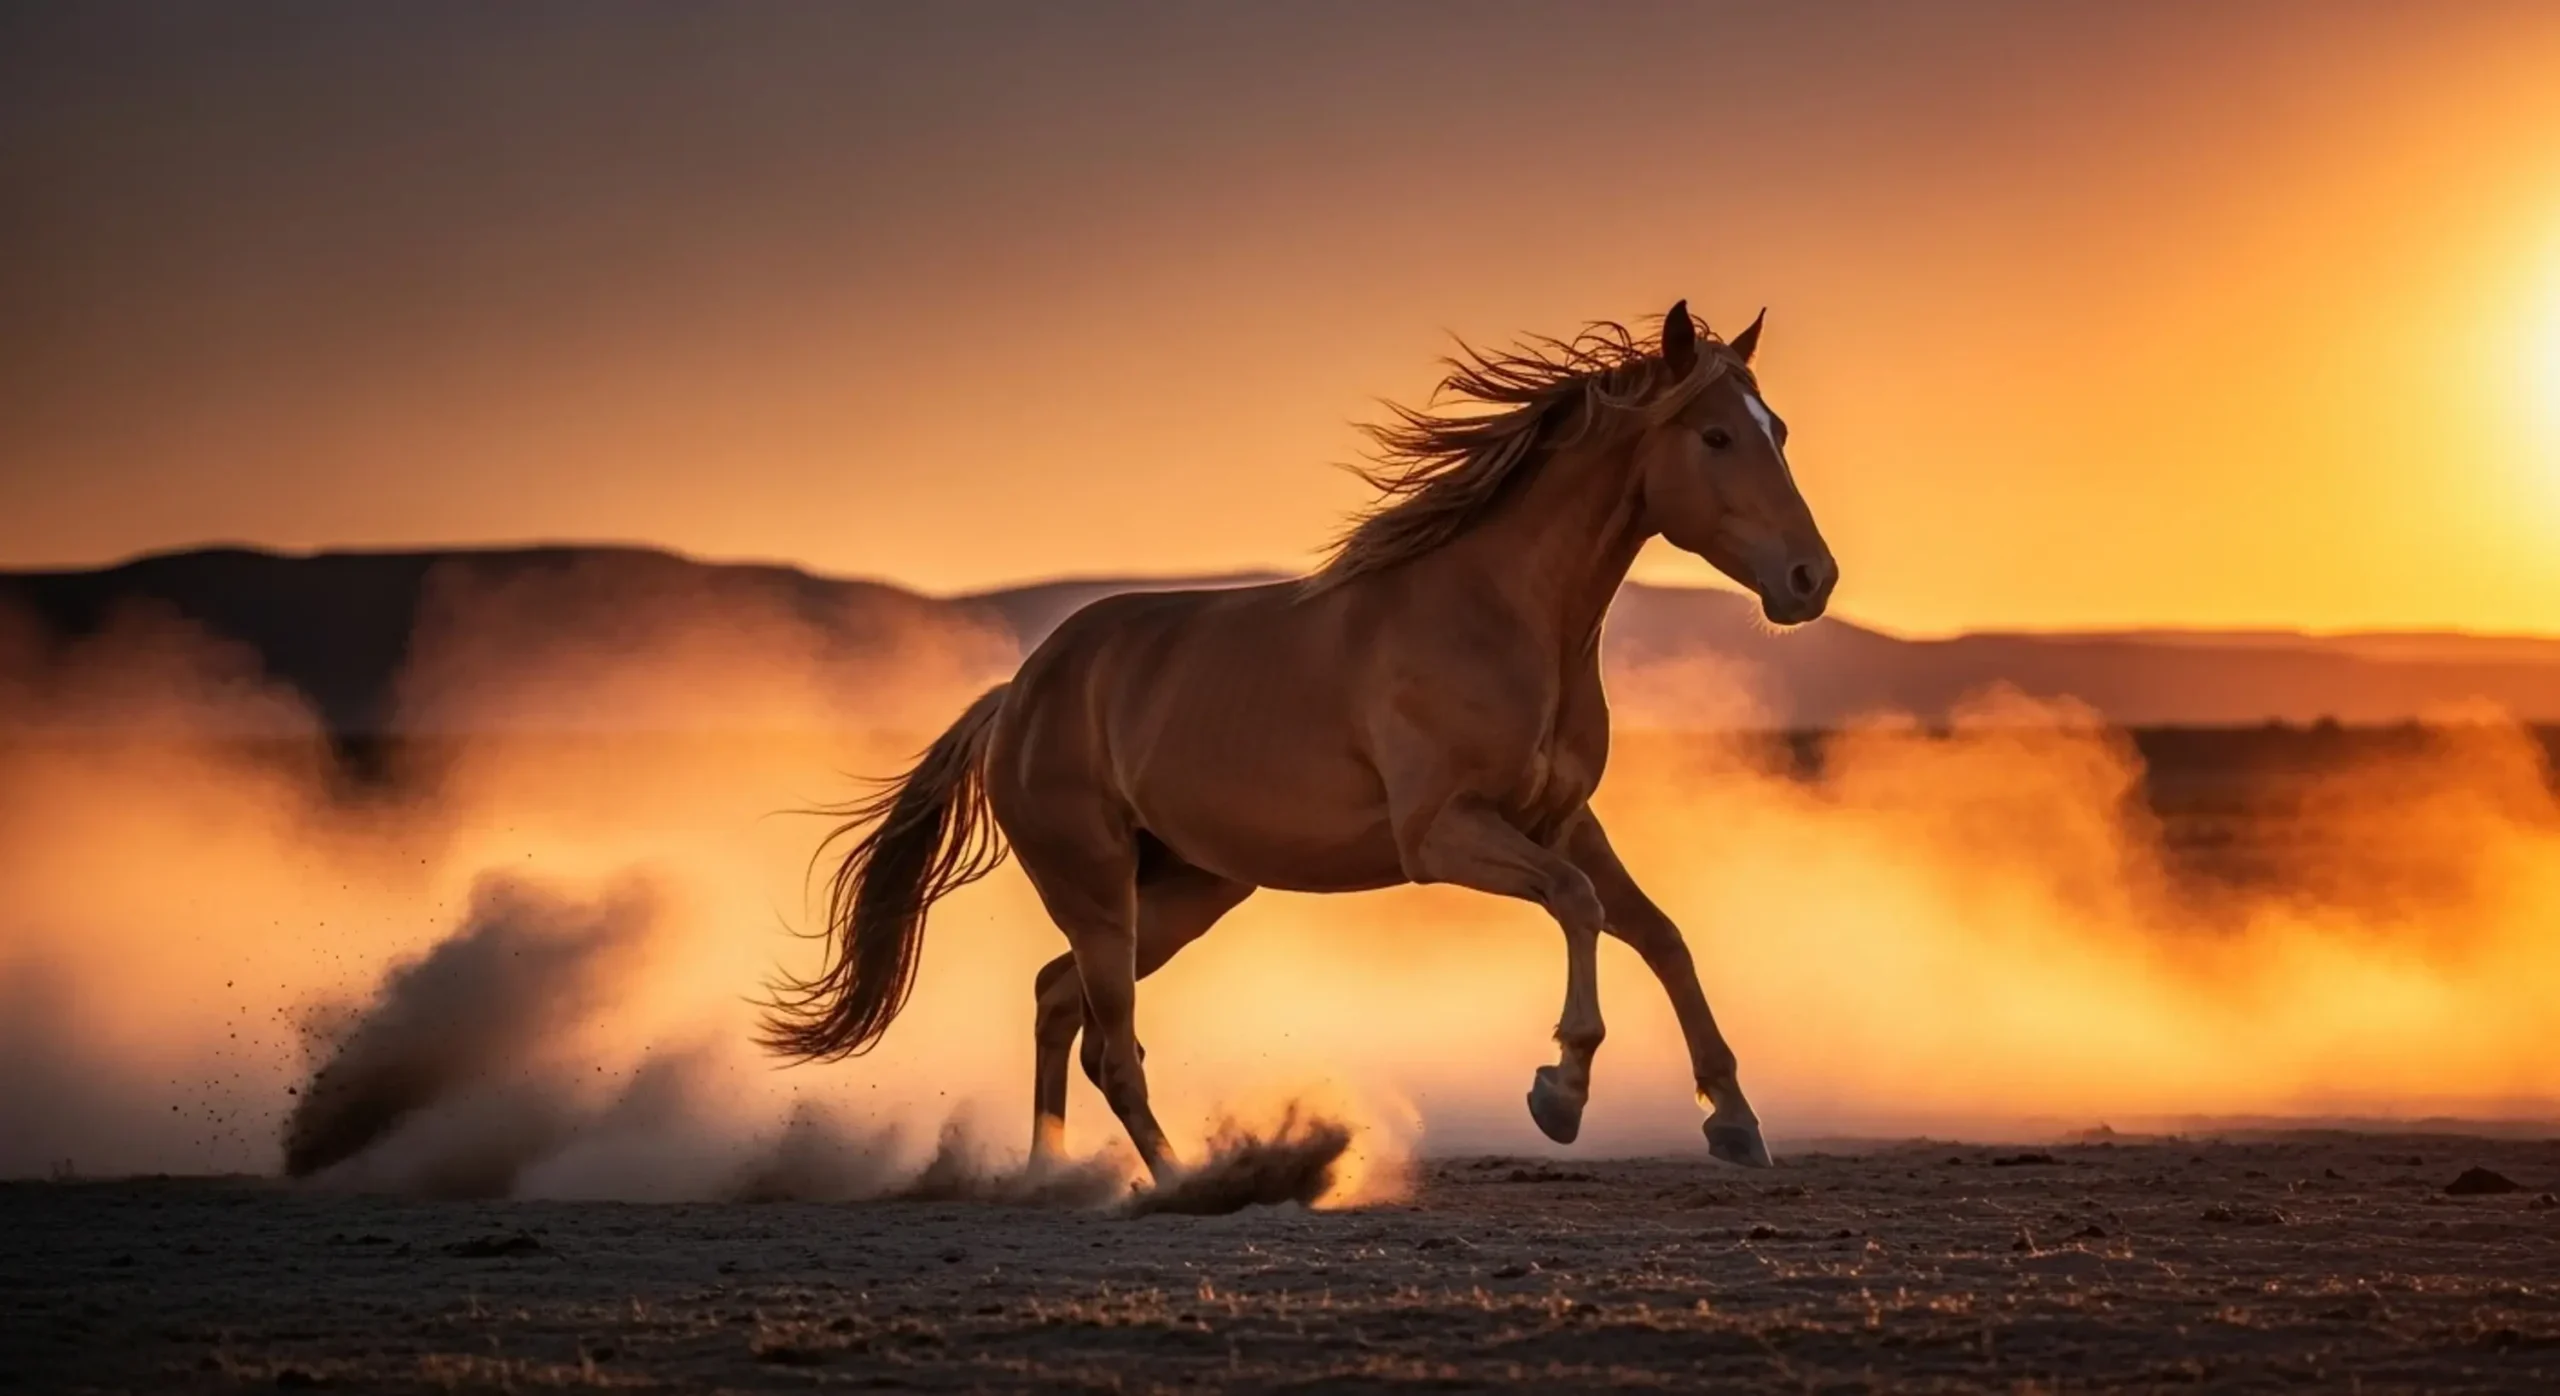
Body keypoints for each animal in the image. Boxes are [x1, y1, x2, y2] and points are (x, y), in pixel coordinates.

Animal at [760, 300, 1837, 1180]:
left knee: (1058, 1002)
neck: (1497, 616)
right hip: (1099, 892)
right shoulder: (1443, 835)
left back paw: (1057, 1178)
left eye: (1778, 430)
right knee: (1110, 1044)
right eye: (1714, 434)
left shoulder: (1562, 820)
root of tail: (1015, 698)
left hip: (1183, 892)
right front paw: (1559, 1092)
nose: (1810, 579)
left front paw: (1735, 1121)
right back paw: (1184, 1185)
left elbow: (1659, 933)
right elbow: (1577, 906)